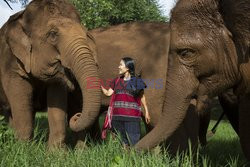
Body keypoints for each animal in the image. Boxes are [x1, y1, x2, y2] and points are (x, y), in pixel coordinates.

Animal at [0, 0, 101, 147]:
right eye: (53, 34)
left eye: (85, 33)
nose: (76, 116)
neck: (22, 16)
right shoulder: (10, 62)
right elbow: (21, 97)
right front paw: (24, 149)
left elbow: (57, 98)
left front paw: (56, 152)